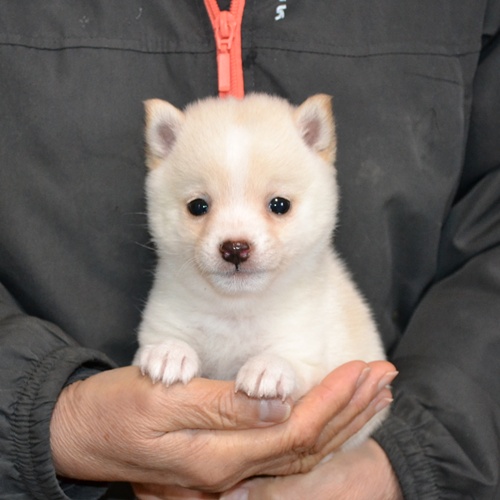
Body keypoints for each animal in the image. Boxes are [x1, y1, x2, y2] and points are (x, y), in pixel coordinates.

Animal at [133, 93, 387, 445]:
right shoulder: (161, 323)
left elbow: (288, 359)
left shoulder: (305, 348)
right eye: (198, 206)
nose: (235, 248)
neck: (236, 311)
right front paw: (170, 352)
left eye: (279, 205)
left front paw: (269, 367)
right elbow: (168, 339)